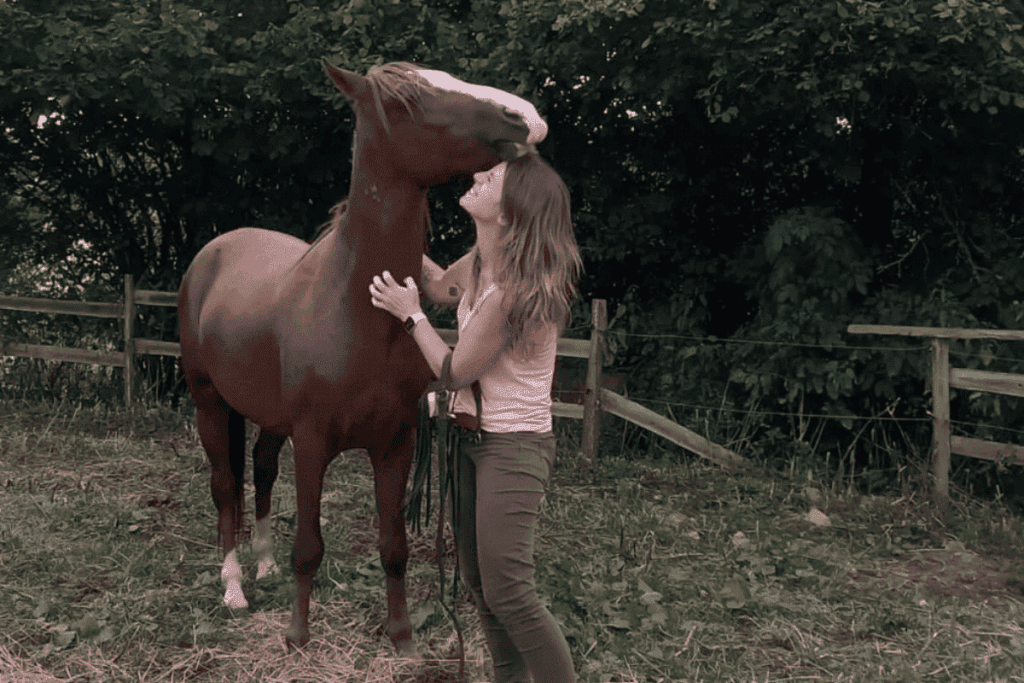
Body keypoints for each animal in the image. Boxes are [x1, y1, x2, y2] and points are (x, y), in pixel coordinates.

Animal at [177, 60, 536, 652]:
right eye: (404, 102)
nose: (522, 116)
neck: (361, 311)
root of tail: (213, 251)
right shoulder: (312, 440)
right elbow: (309, 546)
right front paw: (298, 637)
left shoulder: (395, 443)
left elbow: (394, 546)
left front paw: (401, 635)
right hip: (210, 404)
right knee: (225, 486)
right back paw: (234, 585)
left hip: (270, 419)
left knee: (261, 468)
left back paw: (263, 565)